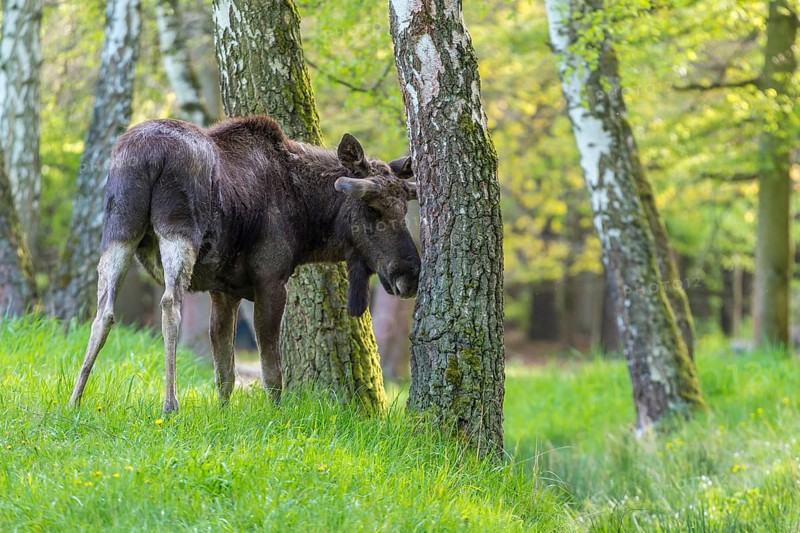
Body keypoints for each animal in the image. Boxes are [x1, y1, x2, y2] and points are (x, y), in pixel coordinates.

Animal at [68, 115, 420, 414]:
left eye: (404, 209)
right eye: (372, 209)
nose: (410, 274)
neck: (308, 221)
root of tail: (148, 155)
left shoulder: (225, 292)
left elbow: (224, 370)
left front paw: (223, 415)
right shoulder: (272, 281)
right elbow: (271, 368)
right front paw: (275, 415)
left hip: (119, 230)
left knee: (103, 313)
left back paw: (75, 399)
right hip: (178, 230)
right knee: (170, 304)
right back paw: (170, 404)